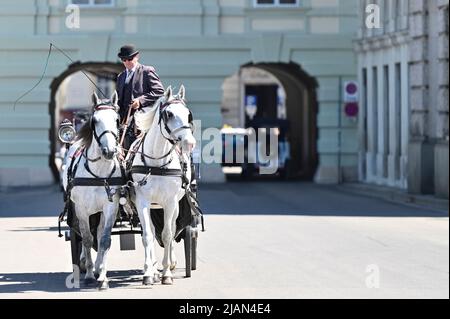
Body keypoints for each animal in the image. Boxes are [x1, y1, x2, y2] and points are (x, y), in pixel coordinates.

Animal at [61, 91, 122, 292]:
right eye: (94, 120)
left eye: (117, 120)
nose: (109, 151)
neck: (99, 174)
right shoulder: (81, 209)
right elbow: (87, 239)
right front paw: (88, 275)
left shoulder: (111, 207)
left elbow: (104, 240)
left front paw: (102, 276)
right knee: (82, 232)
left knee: (99, 232)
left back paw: (98, 267)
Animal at [129, 85, 194, 284]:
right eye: (169, 114)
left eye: (188, 114)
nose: (189, 143)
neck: (156, 163)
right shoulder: (142, 201)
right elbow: (147, 235)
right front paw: (149, 272)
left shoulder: (170, 202)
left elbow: (167, 234)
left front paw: (167, 273)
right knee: (151, 229)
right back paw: (153, 267)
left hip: (175, 206)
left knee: (172, 229)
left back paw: (170, 264)